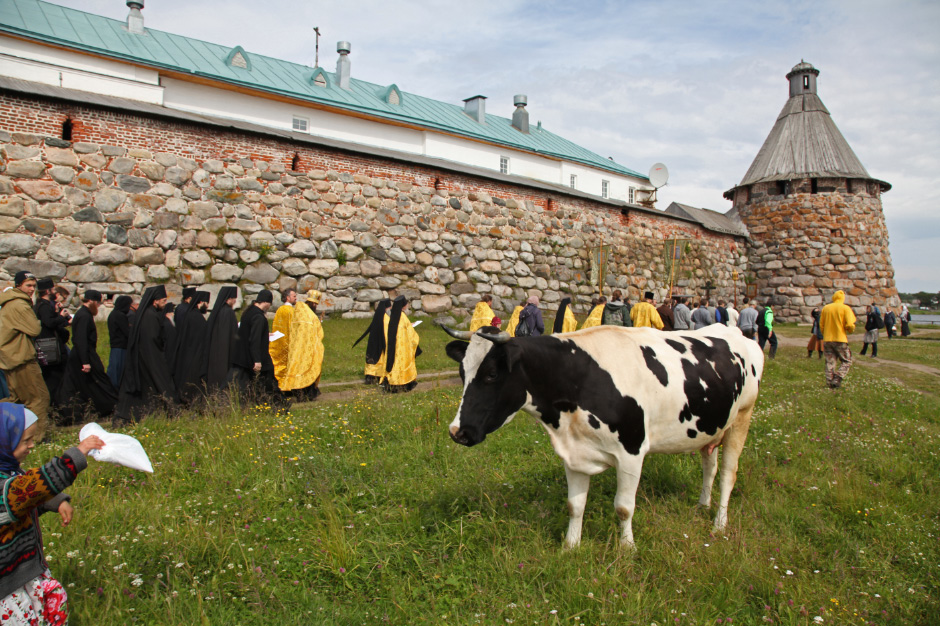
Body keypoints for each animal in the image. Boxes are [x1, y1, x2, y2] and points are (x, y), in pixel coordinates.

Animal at [442, 322, 764, 544]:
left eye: (491, 374)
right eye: (462, 373)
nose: (457, 431)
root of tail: (733, 329)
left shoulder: (632, 451)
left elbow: (623, 508)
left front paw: (627, 548)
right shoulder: (573, 452)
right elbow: (574, 505)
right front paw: (570, 546)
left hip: (742, 418)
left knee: (727, 474)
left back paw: (719, 523)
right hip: (712, 427)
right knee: (709, 466)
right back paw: (702, 505)